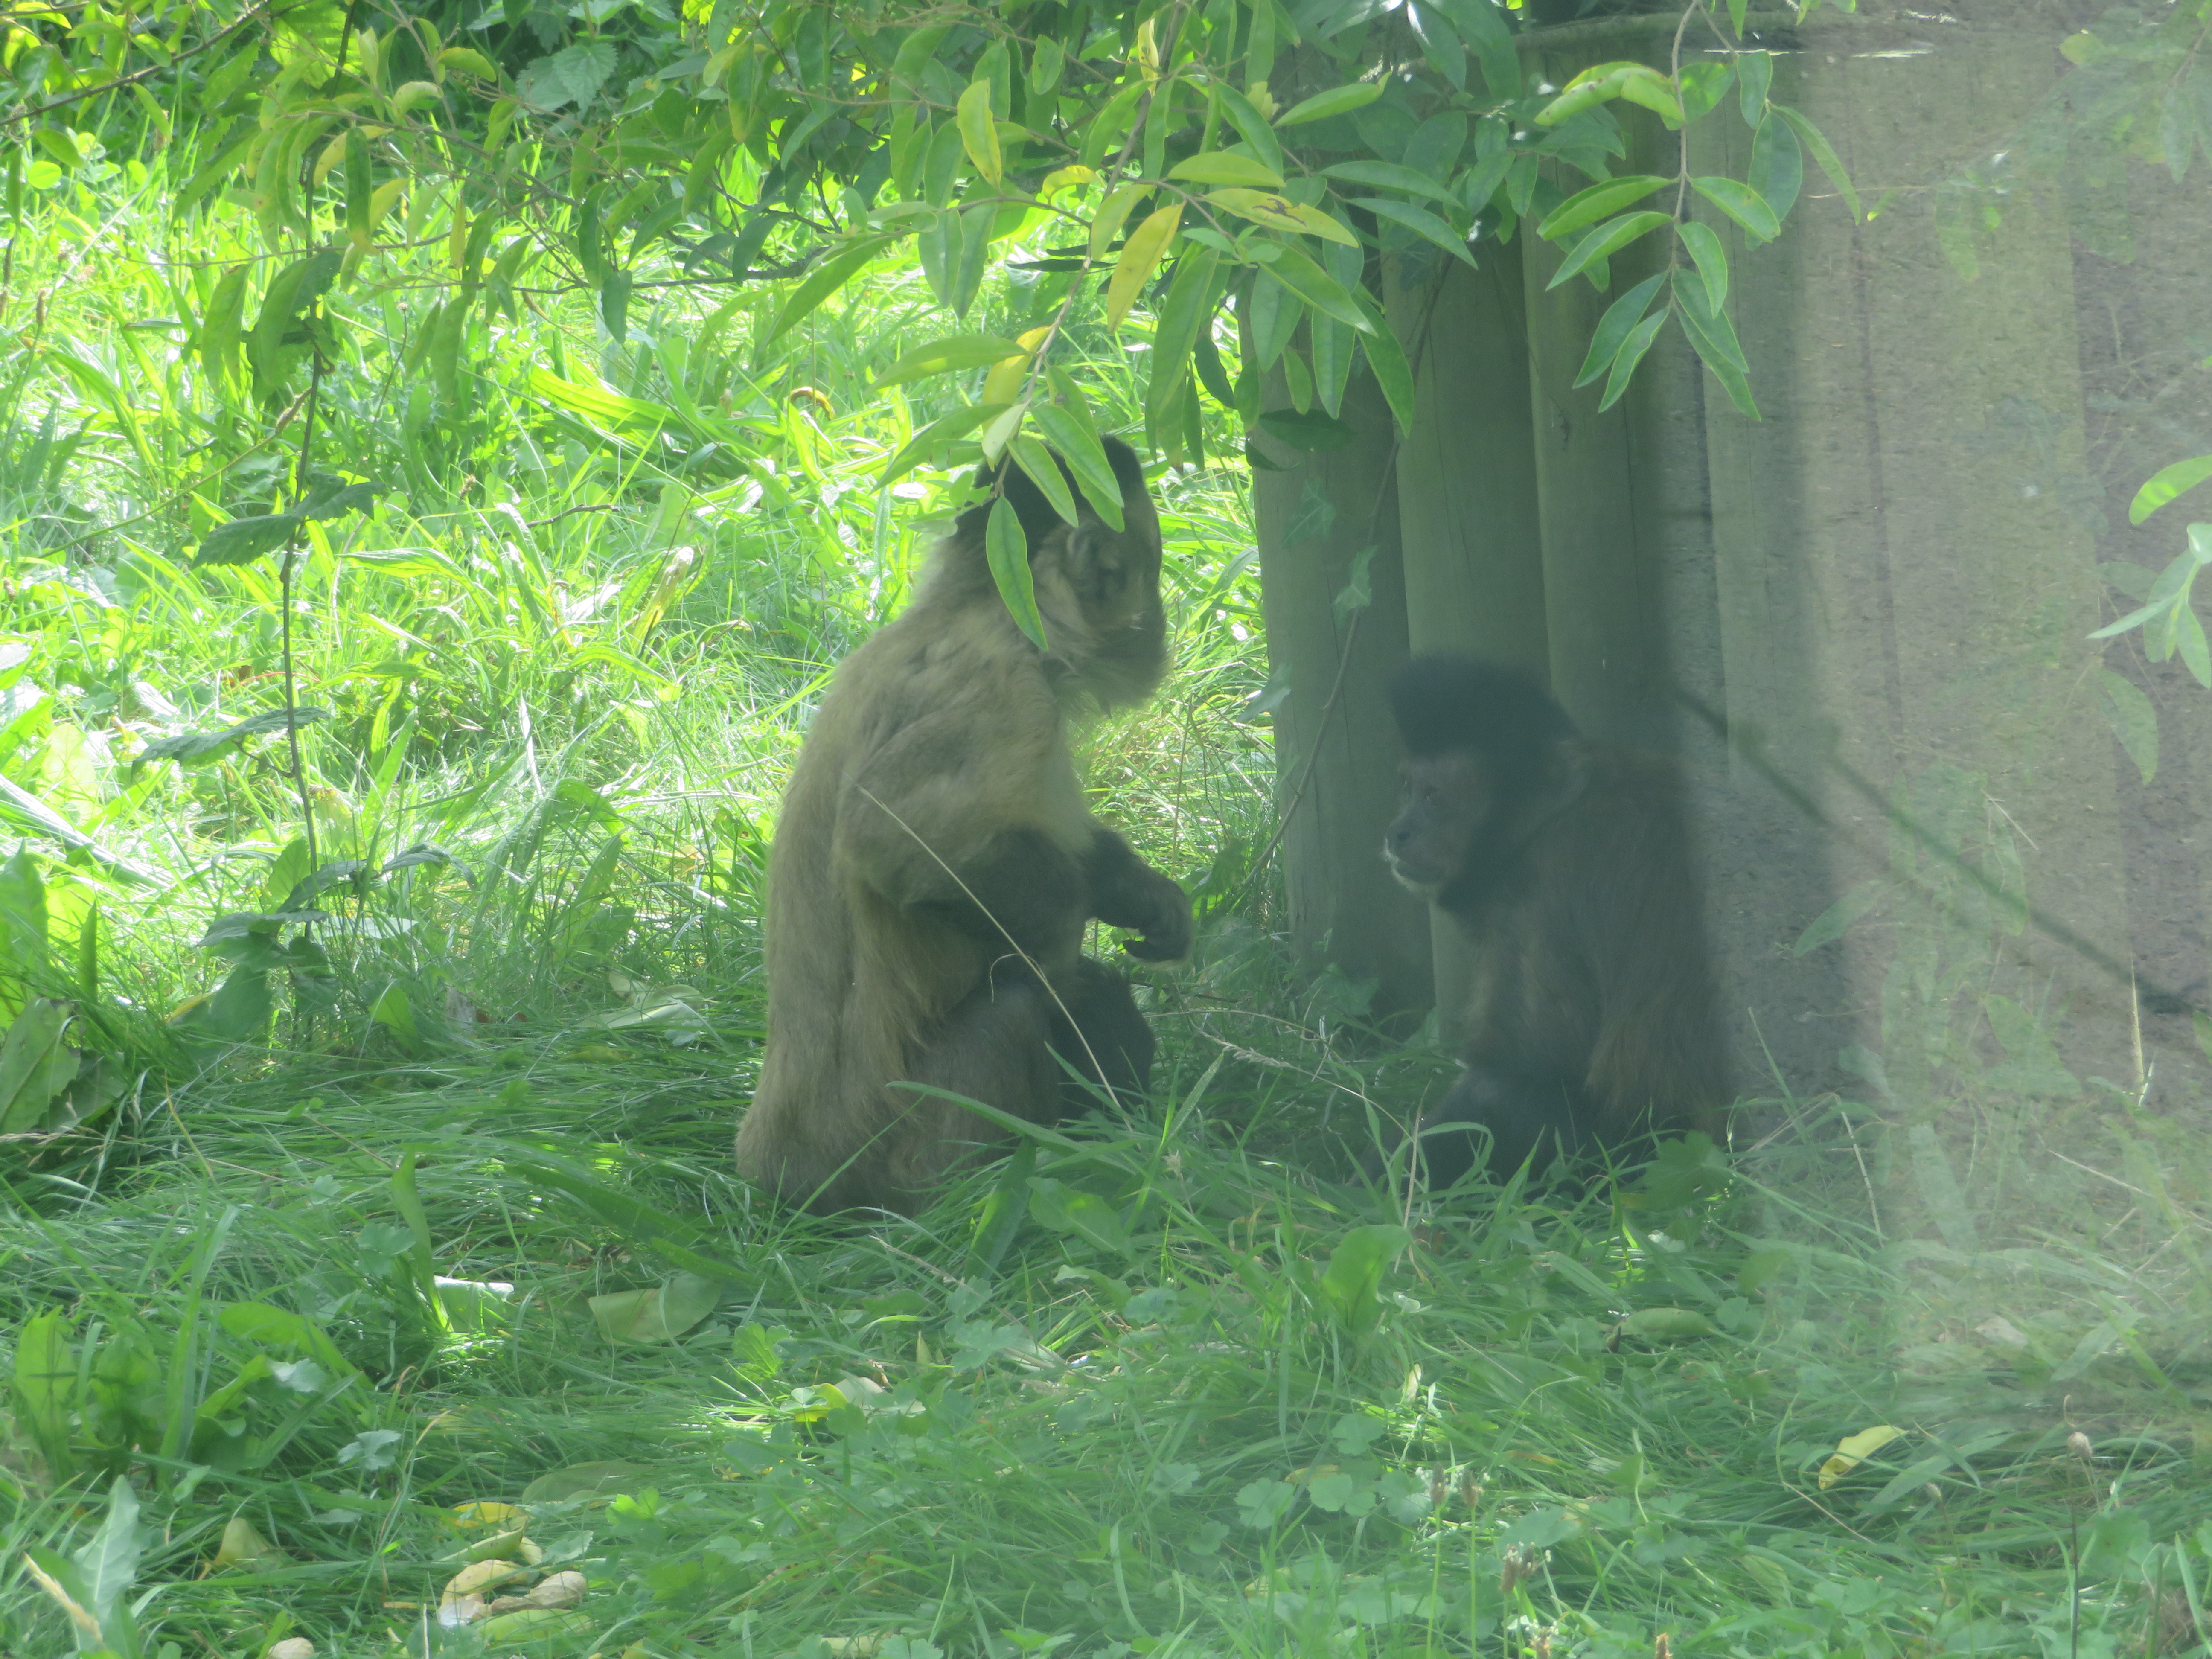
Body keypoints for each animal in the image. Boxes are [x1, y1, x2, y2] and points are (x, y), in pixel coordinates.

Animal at [734, 436, 1192, 1215]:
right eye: (1148, 571)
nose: (1160, 621)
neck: (971, 610)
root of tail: (786, 1170)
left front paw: (1140, 895)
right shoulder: (1007, 689)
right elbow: (890, 840)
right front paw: (1067, 932)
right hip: (907, 1143)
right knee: (1022, 1003)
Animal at [1372, 653, 1728, 1189]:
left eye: (1435, 798)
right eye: (1408, 788)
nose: (1398, 832)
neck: (1554, 815)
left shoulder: (1538, 898)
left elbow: (1530, 1068)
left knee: (1501, 1095)